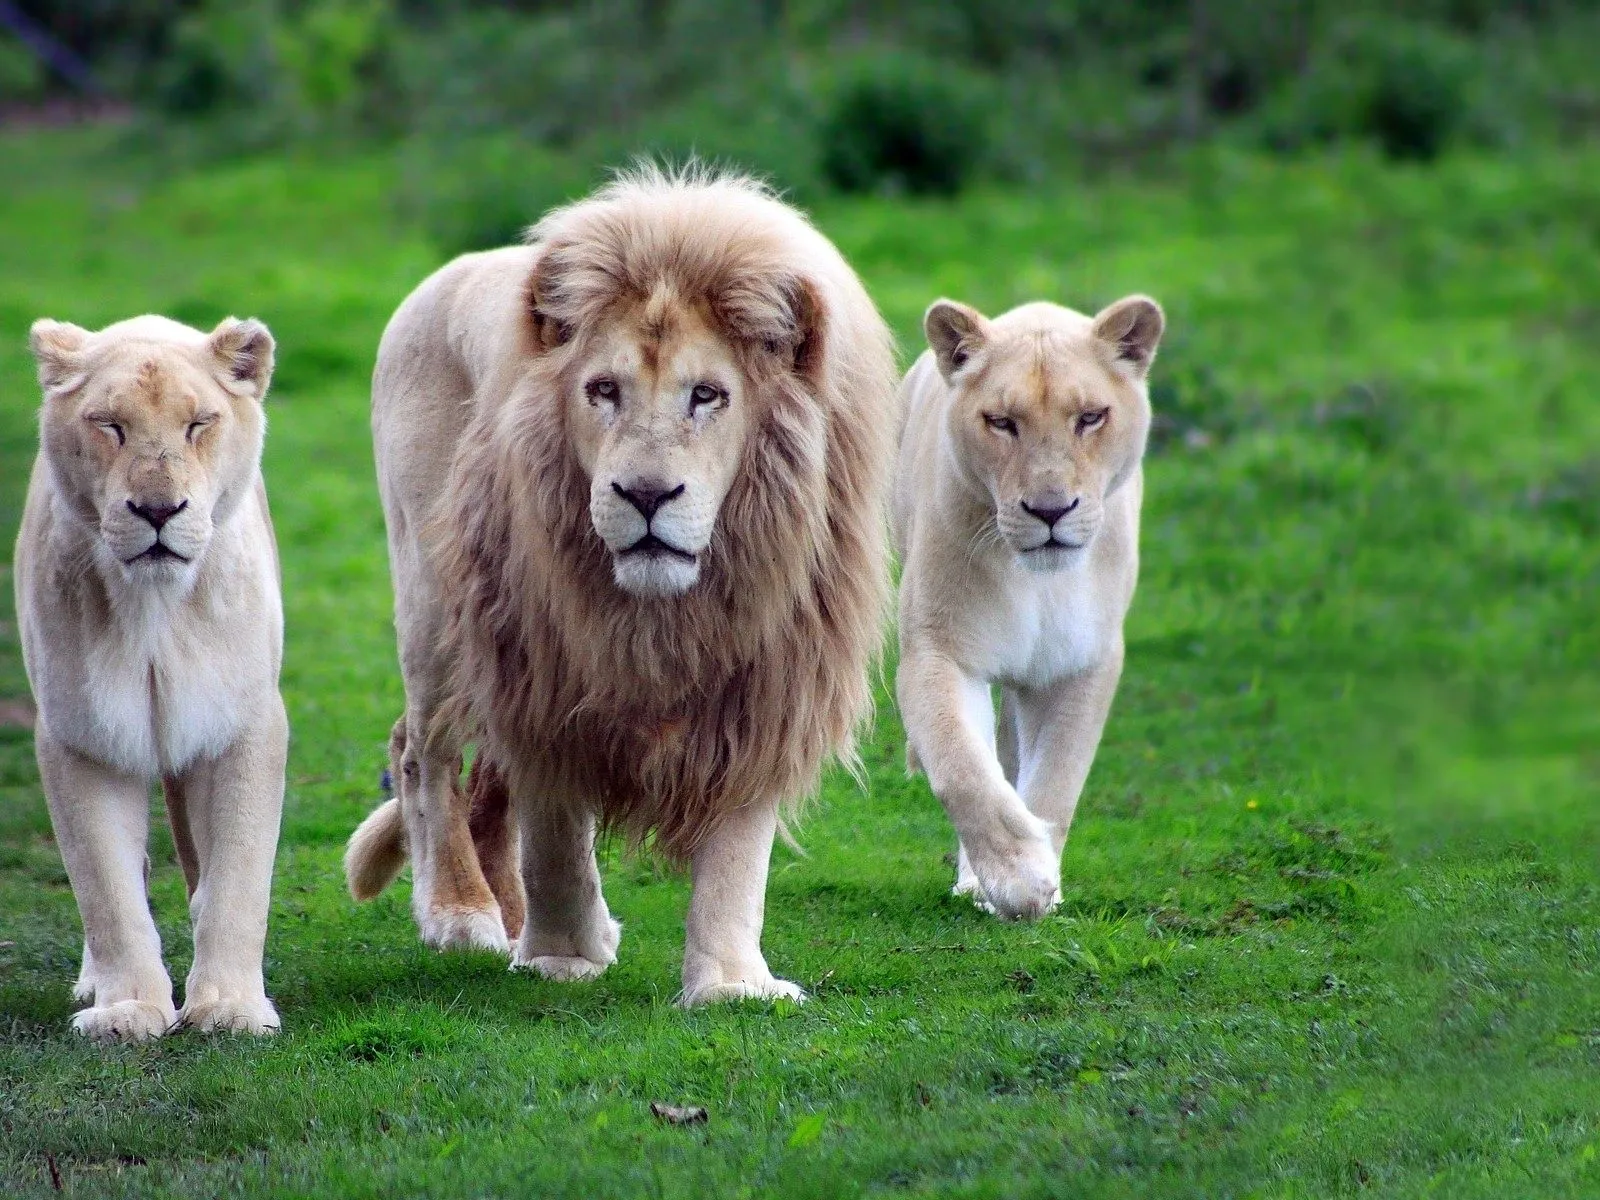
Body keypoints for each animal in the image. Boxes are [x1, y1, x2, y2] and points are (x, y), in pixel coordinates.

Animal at [17, 316, 288, 1043]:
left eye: (199, 424)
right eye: (109, 425)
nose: (159, 510)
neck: (155, 609)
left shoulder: (243, 726)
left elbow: (238, 876)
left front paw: (229, 1008)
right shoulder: (82, 738)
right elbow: (106, 887)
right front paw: (128, 1010)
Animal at [348, 169, 896, 1011]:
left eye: (707, 395)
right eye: (603, 390)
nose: (644, 495)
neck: (664, 614)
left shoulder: (766, 682)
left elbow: (737, 852)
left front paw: (731, 983)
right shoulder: (542, 672)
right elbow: (555, 838)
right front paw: (562, 957)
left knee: (485, 781)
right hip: (437, 603)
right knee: (423, 753)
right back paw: (462, 914)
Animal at [889, 291, 1164, 921]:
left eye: (1090, 417)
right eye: (1001, 422)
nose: (1050, 510)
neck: (1038, 582)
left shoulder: (1081, 663)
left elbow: (1058, 779)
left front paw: (1043, 882)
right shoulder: (938, 652)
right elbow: (962, 768)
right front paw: (1019, 878)